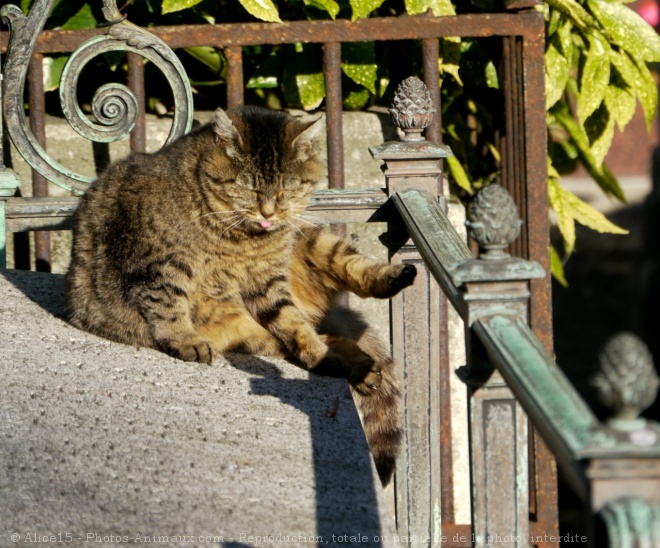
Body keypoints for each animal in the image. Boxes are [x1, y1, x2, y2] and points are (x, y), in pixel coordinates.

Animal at [67, 104, 418, 484]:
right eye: (247, 186)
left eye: (286, 187)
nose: (268, 212)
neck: (240, 238)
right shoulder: (158, 268)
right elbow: (168, 305)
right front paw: (183, 339)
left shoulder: (268, 282)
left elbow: (295, 325)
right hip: (249, 332)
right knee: (310, 338)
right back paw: (353, 364)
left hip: (312, 240)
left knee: (334, 298)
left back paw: (388, 292)